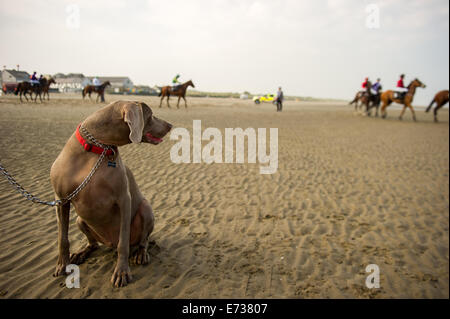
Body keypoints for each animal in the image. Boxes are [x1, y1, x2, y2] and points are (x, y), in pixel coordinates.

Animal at [50, 100, 172, 288]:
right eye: (151, 115)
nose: (170, 125)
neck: (97, 148)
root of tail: (109, 243)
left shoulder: (124, 200)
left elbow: (123, 243)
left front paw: (121, 272)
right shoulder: (61, 199)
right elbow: (62, 239)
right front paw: (62, 265)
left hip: (145, 209)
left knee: (141, 240)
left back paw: (141, 254)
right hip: (80, 219)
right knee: (93, 243)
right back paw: (81, 252)